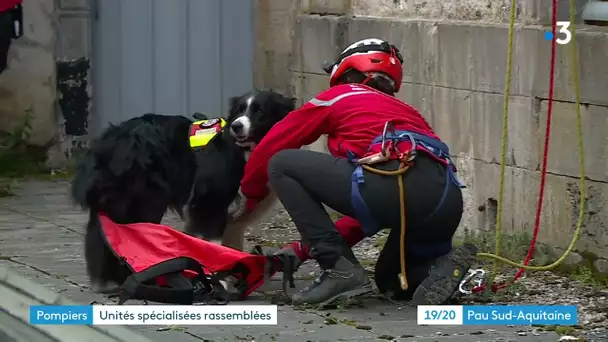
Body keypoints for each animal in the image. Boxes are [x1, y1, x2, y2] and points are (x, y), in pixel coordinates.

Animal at [71, 90, 294, 292]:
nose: (236, 126)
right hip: (146, 200)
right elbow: (212, 245)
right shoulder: (209, 203)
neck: (245, 152)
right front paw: (217, 281)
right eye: (239, 110)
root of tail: (108, 140)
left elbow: (230, 248)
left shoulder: (233, 217)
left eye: (259, 111)